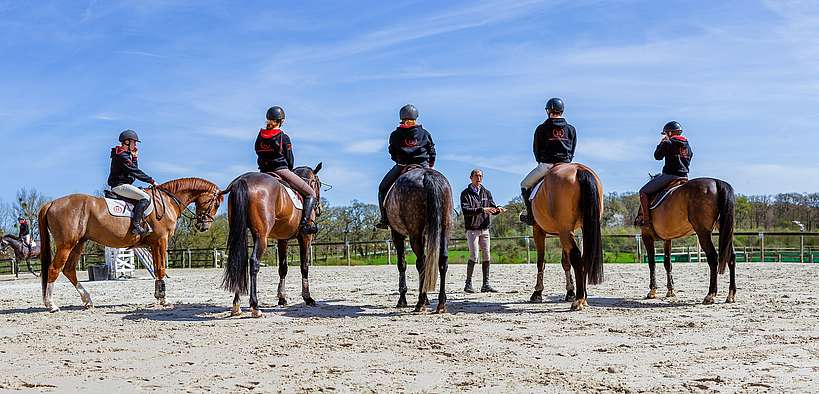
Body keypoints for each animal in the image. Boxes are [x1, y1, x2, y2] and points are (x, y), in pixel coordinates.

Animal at [38, 178, 223, 310]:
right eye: (216, 204)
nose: (203, 226)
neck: (166, 201)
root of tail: (52, 203)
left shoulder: (154, 244)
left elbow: (158, 269)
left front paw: (159, 296)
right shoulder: (161, 241)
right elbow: (161, 269)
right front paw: (164, 299)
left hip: (78, 244)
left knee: (69, 270)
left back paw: (87, 300)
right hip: (66, 245)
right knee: (54, 269)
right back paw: (51, 305)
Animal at [221, 162, 324, 318]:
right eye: (318, 183)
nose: (319, 210)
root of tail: (243, 180)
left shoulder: (282, 240)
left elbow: (283, 268)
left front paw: (282, 298)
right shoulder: (305, 237)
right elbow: (304, 267)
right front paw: (308, 298)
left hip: (241, 231)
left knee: (239, 262)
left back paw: (236, 305)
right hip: (261, 236)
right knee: (254, 262)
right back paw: (255, 306)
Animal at [386, 166, 454, 314]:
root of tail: (427, 175)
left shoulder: (397, 234)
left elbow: (402, 264)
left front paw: (402, 300)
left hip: (415, 232)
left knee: (421, 262)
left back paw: (420, 303)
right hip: (444, 228)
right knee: (442, 261)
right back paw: (441, 304)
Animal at [528, 163, 604, 310]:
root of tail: (579, 168)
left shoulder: (538, 230)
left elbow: (541, 262)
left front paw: (537, 293)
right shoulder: (566, 231)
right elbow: (565, 263)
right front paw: (570, 292)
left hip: (564, 230)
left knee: (576, 257)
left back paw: (579, 300)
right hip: (579, 228)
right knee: (583, 258)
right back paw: (583, 298)